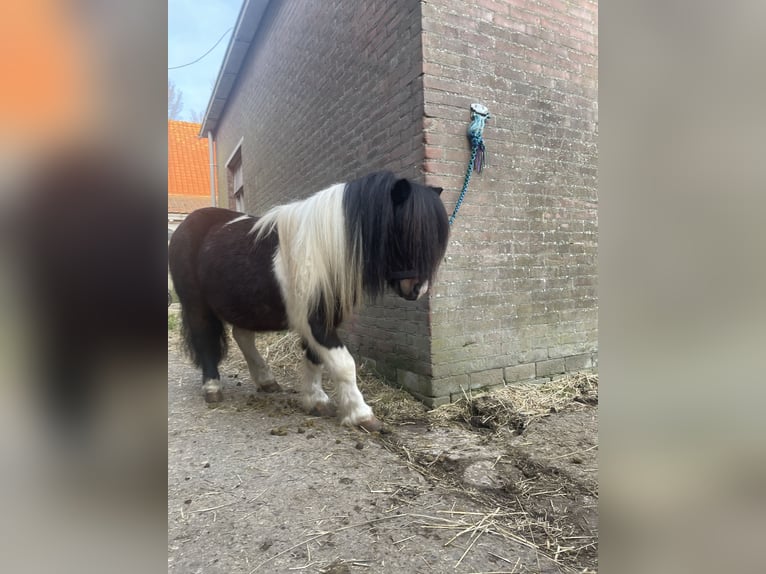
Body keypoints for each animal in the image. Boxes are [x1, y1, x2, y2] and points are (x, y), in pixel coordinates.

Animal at [168, 171, 449, 432]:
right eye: (404, 231)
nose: (417, 289)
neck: (324, 250)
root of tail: (185, 225)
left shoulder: (323, 319)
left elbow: (315, 359)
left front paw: (317, 401)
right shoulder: (315, 320)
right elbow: (344, 364)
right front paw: (361, 414)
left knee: (243, 336)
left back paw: (266, 380)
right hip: (196, 305)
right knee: (205, 339)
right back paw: (212, 388)